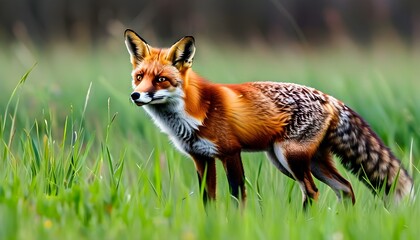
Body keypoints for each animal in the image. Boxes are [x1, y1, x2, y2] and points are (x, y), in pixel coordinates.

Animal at [124, 29, 414, 207]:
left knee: (312, 191)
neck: (196, 113)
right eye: (140, 77)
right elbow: (209, 201)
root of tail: (331, 98)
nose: (135, 95)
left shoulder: (230, 152)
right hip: (302, 161)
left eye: (161, 80)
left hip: (290, 158)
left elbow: (237, 197)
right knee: (345, 188)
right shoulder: (201, 158)